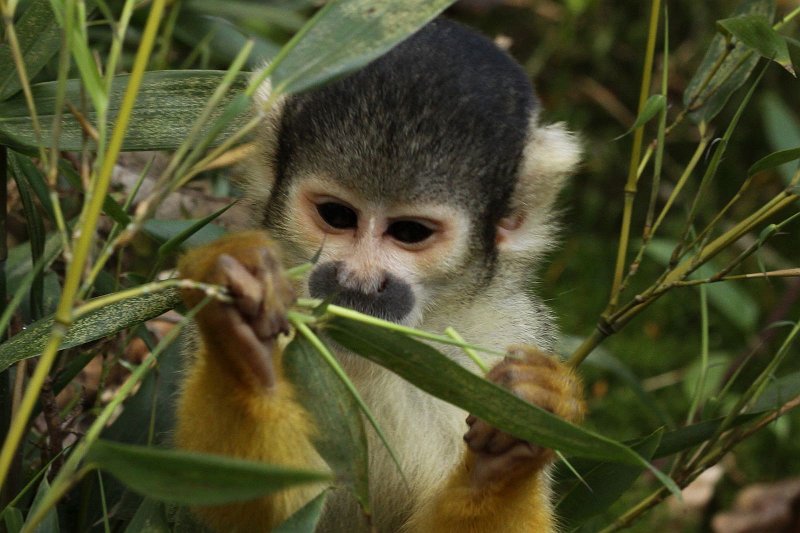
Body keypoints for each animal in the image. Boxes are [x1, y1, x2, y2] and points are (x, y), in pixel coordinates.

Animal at [175, 18, 584, 528]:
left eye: (410, 232)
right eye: (337, 215)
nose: (360, 280)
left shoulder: (499, 331)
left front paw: (512, 437)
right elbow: (259, 506)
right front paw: (241, 342)